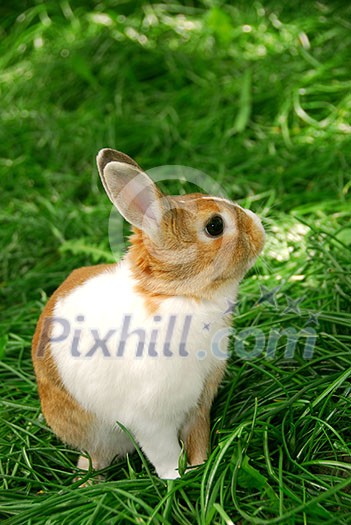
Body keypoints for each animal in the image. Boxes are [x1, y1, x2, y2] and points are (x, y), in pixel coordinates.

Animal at [31, 148, 266, 478]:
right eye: (215, 226)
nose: (259, 226)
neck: (181, 295)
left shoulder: (199, 405)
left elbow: (198, 439)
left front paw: (200, 466)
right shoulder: (150, 420)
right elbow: (165, 455)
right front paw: (178, 480)